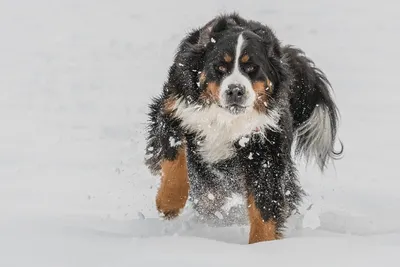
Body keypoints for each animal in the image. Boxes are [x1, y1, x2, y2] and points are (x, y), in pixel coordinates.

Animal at [143, 13, 340, 245]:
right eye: (220, 67)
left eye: (252, 68)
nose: (235, 90)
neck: (226, 119)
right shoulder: (174, 111)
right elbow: (175, 160)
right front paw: (168, 203)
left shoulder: (264, 148)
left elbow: (264, 204)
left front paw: (262, 245)